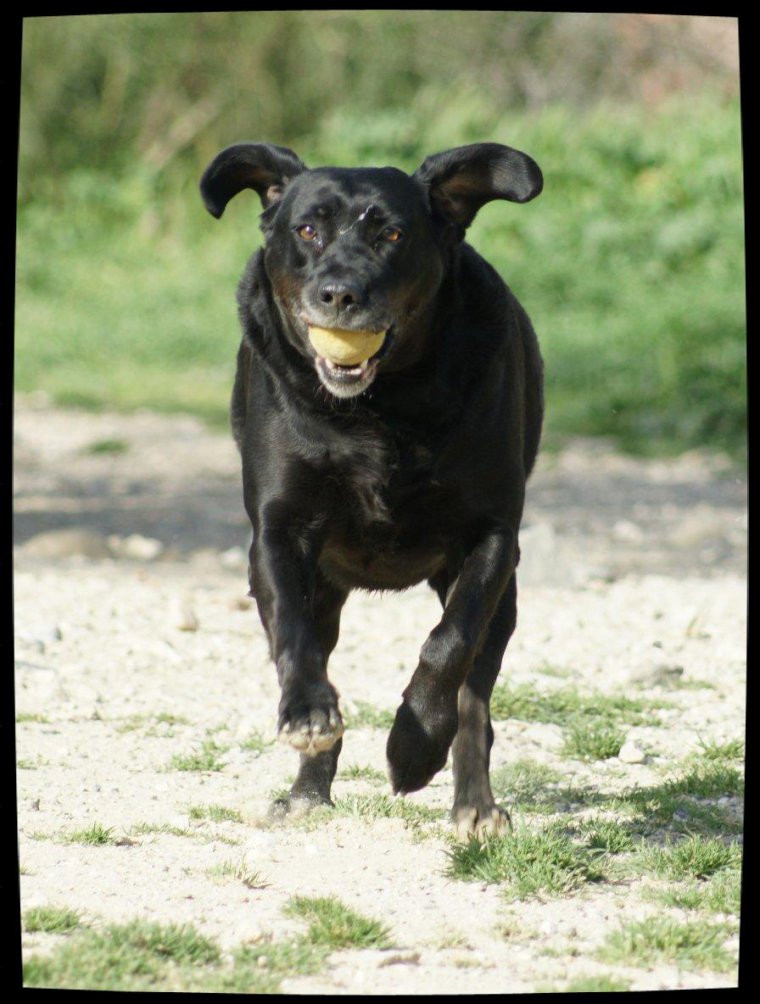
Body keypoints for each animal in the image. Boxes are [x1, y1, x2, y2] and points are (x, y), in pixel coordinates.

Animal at [201, 139, 542, 839]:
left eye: (392, 234)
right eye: (307, 230)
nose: (340, 292)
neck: (381, 408)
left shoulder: (492, 536)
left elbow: (450, 643)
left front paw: (414, 745)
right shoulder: (278, 531)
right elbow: (294, 633)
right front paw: (308, 715)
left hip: (506, 599)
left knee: (477, 692)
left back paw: (474, 802)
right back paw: (308, 791)